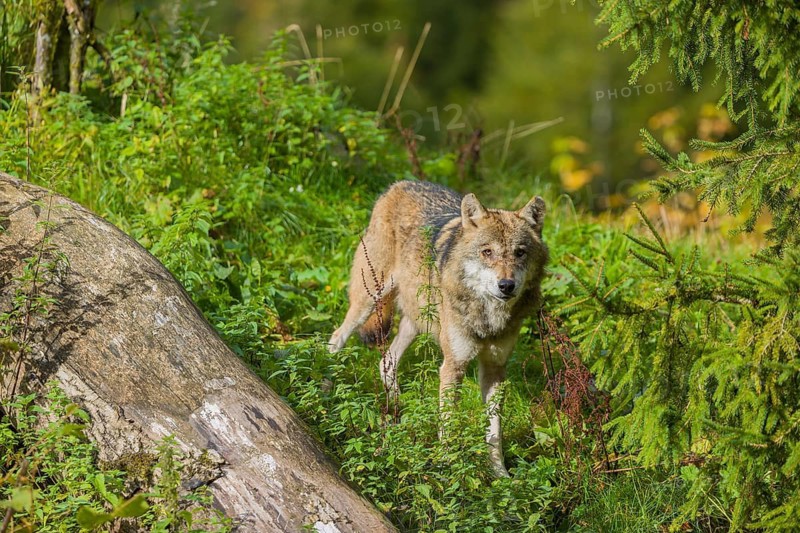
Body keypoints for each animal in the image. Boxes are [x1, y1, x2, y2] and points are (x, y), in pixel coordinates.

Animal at [328, 180, 548, 477]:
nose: (506, 285)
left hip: (417, 320)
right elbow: (450, 424)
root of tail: (399, 183)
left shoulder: (495, 370)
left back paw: (399, 408)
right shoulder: (453, 366)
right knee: (337, 337)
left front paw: (500, 474)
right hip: (369, 299)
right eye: (487, 252)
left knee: (386, 361)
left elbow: (494, 432)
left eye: (520, 252)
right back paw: (324, 380)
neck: (487, 317)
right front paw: (448, 467)